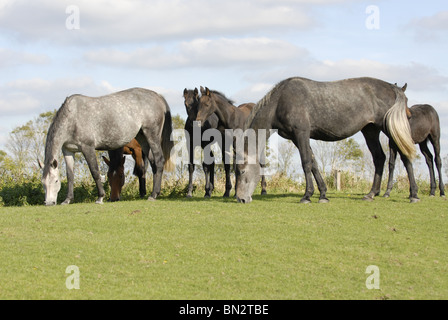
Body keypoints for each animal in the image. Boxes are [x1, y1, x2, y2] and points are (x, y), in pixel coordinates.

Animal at [39, 87, 174, 205]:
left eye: (56, 181)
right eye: (43, 182)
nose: (49, 202)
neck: (72, 117)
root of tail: (158, 96)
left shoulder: (87, 148)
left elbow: (95, 172)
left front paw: (100, 197)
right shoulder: (68, 150)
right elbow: (70, 175)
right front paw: (67, 200)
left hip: (152, 136)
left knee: (159, 161)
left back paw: (153, 195)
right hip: (143, 138)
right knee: (153, 163)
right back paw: (155, 193)